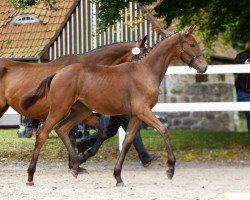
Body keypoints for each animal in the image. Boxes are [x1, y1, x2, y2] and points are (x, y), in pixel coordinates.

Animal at [22, 25, 208, 186]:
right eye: (192, 44)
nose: (204, 67)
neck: (145, 72)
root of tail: (57, 73)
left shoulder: (136, 115)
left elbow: (127, 142)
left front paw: (118, 176)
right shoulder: (143, 111)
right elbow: (164, 130)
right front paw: (170, 169)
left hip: (81, 111)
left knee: (62, 129)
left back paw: (75, 166)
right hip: (59, 109)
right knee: (42, 134)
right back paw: (31, 176)